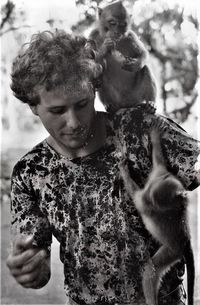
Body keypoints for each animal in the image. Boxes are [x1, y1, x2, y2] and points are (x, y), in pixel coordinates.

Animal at [119, 116, 194, 304]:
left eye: (153, 199)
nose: (150, 199)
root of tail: (186, 240)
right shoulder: (160, 174)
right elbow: (158, 158)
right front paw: (155, 137)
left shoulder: (149, 199)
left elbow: (135, 196)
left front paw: (124, 171)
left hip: (173, 250)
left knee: (151, 271)